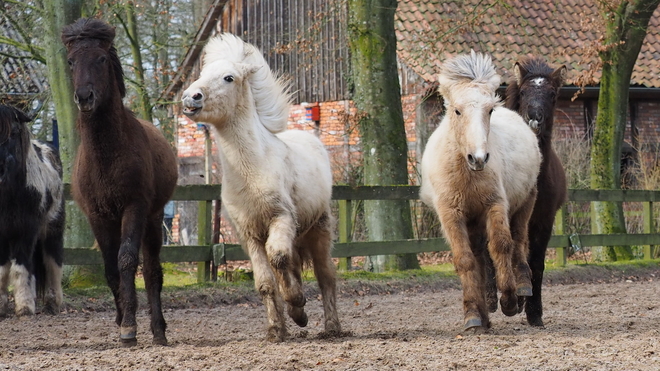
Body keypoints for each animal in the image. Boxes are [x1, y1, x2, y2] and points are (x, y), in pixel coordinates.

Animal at [0, 104, 65, 316]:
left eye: (13, 132)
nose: (0, 167)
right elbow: (3, 270)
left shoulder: (25, 232)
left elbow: (21, 268)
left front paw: (25, 306)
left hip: (52, 229)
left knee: (53, 262)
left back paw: (54, 303)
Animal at [183, 32, 342, 342]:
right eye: (202, 74)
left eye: (229, 78)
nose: (190, 97)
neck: (253, 170)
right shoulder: (249, 235)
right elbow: (266, 282)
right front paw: (277, 329)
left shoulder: (281, 219)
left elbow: (278, 258)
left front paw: (297, 305)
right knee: (295, 266)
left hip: (319, 228)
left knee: (325, 275)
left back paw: (332, 327)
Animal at [422, 51, 540, 332]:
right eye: (457, 110)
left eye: (489, 110)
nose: (478, 158)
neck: (467, 174)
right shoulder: (451, 214)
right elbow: (465, 260)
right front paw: (473, 315)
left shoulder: (494, 205)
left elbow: (501, 246)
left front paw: (509, 301)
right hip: (473, 221)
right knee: (478, 255)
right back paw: (484, 315)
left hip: (526, 202)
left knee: (519, 240)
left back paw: (522, 287)